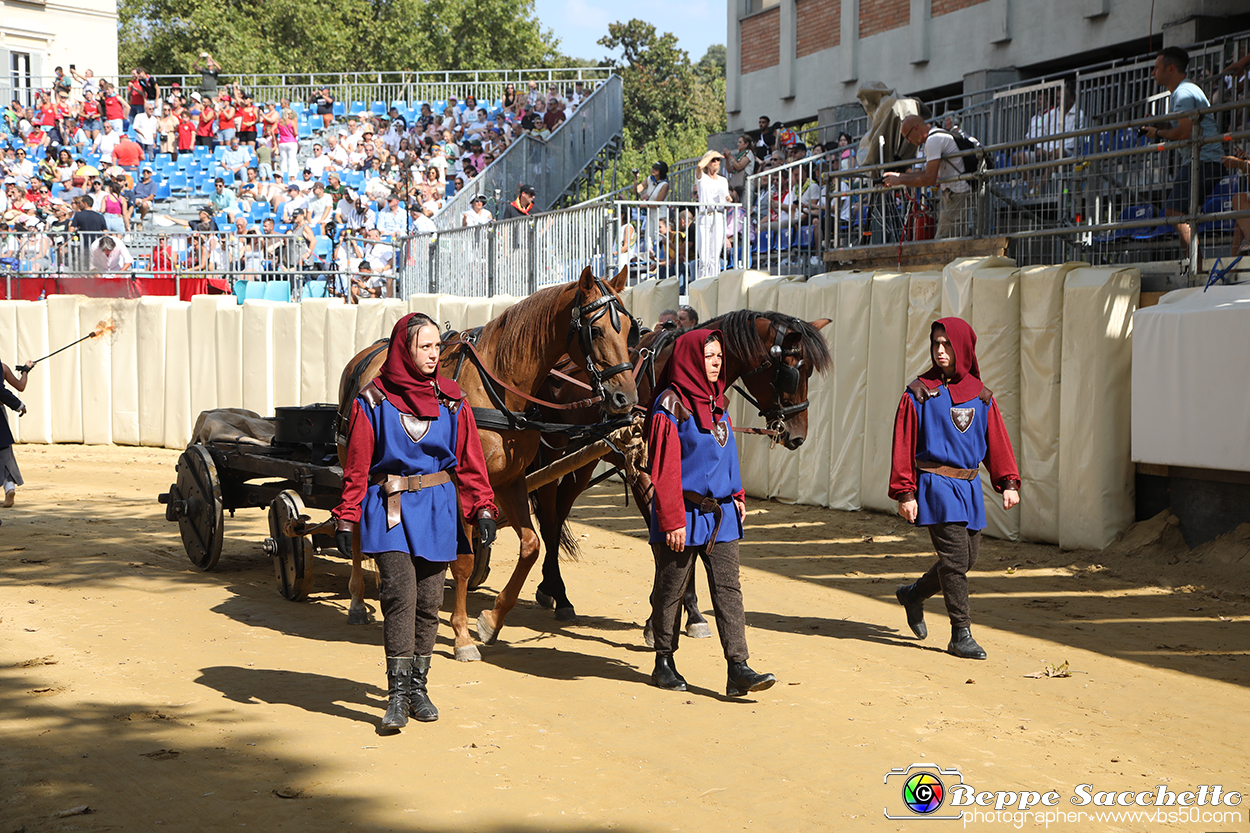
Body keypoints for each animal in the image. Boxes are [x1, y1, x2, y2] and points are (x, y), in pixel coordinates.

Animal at [337, 263, 640, 655]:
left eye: (631, 330)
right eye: (596, 329)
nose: (625, 398)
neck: (498, 387)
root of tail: (366, 355)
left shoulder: (510, 481)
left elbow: (530, 546)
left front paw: (491, 621)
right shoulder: (459, 484)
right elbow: (464, 561)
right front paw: (462, 634)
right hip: (355, 463)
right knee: (356, 526)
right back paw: (358, 600)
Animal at [527, 307, 830, 620]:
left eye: (809, 372)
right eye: (791, 372)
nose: (797, 435)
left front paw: (685, 608)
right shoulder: (645, 472)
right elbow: (670, 537)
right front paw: (673, 608)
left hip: (582, 462)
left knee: (559, 512)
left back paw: (549, 588)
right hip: (550, 453)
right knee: (549, 518)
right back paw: (560, 594)